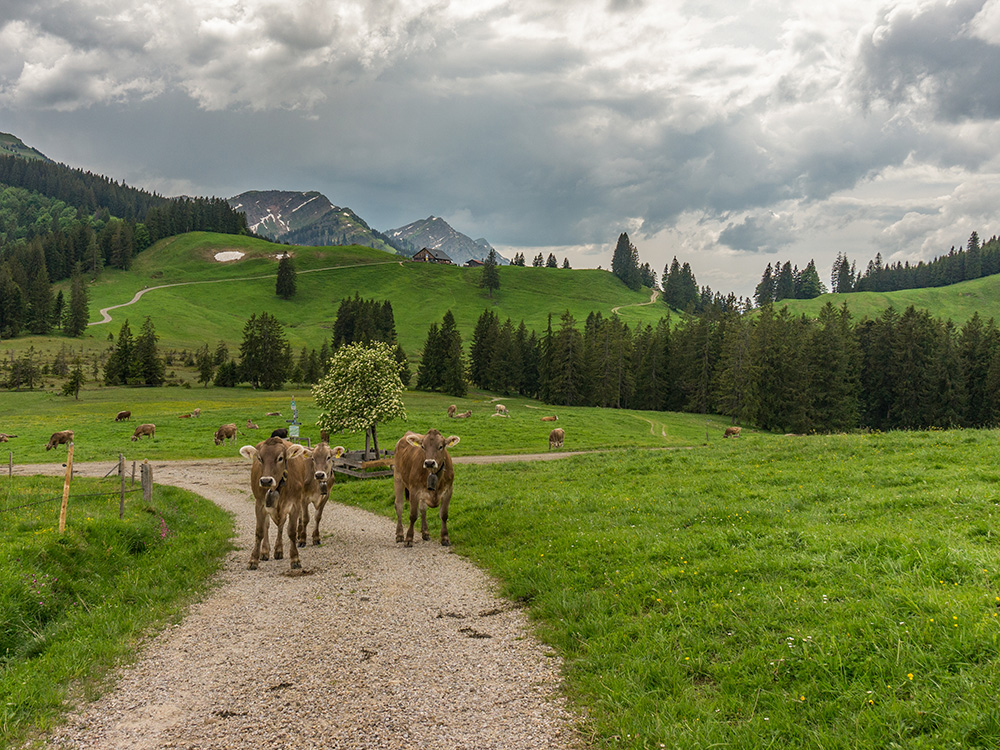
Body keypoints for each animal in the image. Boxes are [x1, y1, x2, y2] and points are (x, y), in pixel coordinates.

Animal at [239, 438, 312, 572]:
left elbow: (291, 532)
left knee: (281, 525)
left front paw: (295, 559)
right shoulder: (260, 504)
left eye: (280, 458)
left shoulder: (295, 505)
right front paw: (253, 560)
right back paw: (265, 552)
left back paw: (278, 550)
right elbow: (260, 531)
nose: (266, 481)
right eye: (259, 458)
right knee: (267, 526)